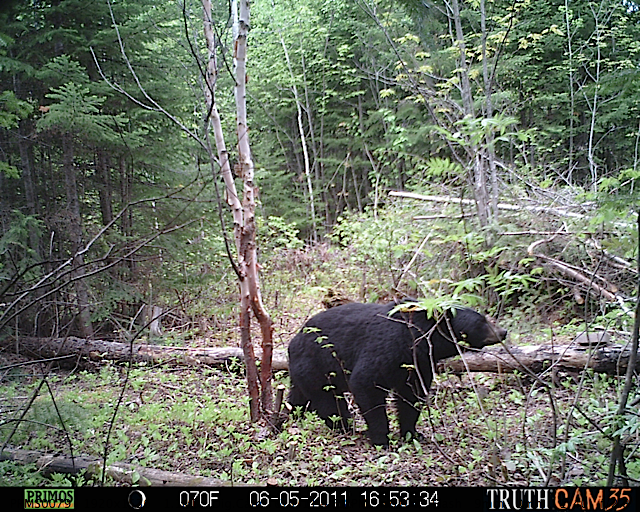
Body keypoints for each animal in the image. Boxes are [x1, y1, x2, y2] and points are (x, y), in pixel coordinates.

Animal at [288, 302, 508, 446]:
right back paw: (345, 426)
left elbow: (411, 396)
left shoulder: (419, 364)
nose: (503, 331)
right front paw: (381, 438)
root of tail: (294, 340)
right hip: (316, 365)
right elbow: (366, 383)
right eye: (481, 322)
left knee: (298, 397)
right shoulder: (387, 348)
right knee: (328, 401)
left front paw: (412, 433)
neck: (417, 338)